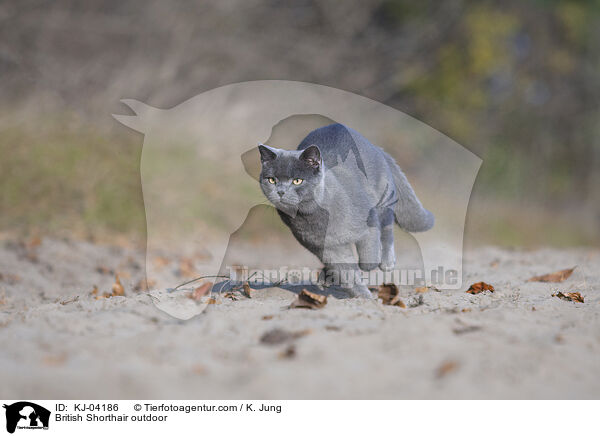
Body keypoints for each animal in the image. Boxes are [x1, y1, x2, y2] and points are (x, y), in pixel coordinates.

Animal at [256, 124, 432, 298]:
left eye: (297, 181)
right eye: (272, 180)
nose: (280, 191)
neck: (314, 216)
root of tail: (376, 147)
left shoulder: (369, 222)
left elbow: (368, 259)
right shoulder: (328, 249)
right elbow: (348, 274)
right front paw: (364, 298)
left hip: (383, 198)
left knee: (387, 228)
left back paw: (387, 262)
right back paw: (326, 277)